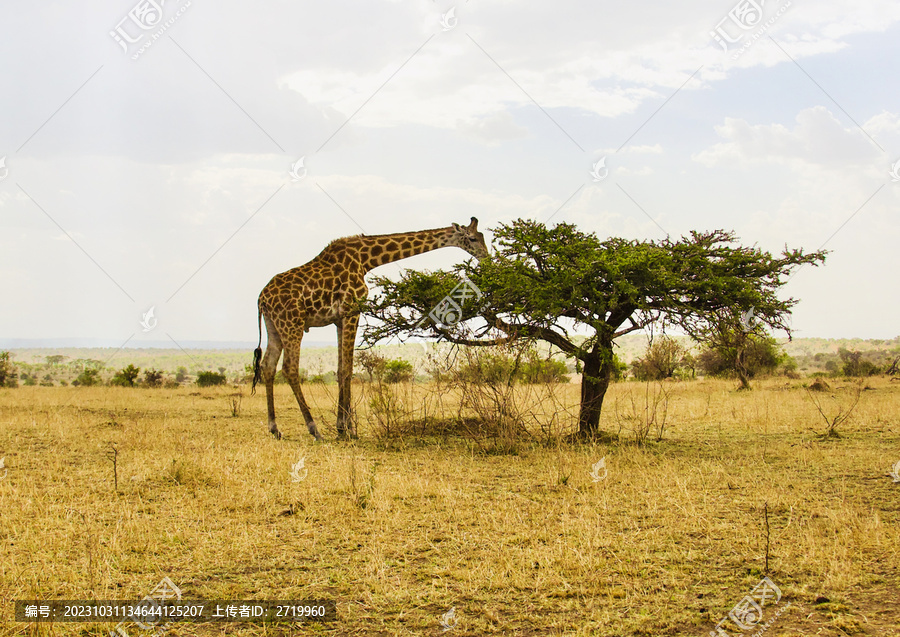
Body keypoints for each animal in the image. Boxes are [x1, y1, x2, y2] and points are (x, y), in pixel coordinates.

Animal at [250, 216, 488, 440]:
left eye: (482, 236)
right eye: (473, 238)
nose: (486, 258)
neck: (366, 259)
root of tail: (261, 298)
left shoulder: (339, 318)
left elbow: (341, 369)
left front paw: (343, 427)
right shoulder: (352, 311)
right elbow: (347, 369)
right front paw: (347, 429)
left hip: (274, 326)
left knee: (268, 366)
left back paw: (275, 429)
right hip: (293, 323)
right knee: (289, 368)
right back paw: (314, 429)